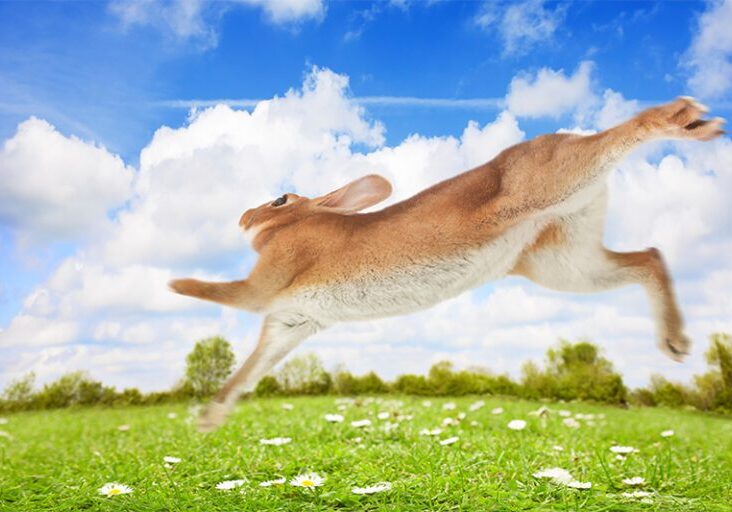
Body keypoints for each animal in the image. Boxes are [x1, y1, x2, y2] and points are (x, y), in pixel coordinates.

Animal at [170, 97, 725, 432]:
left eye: (281, 199)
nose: (243, 217)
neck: (299, 224)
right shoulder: (291, 322)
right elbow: (249, 369)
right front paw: (210, 418)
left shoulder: (267, 283)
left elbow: (227, 292)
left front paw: (173, 282)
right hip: (563, 262)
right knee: (648, 256)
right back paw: (676, 342)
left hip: (553, 181)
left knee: (624, 134)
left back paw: (690, 119)